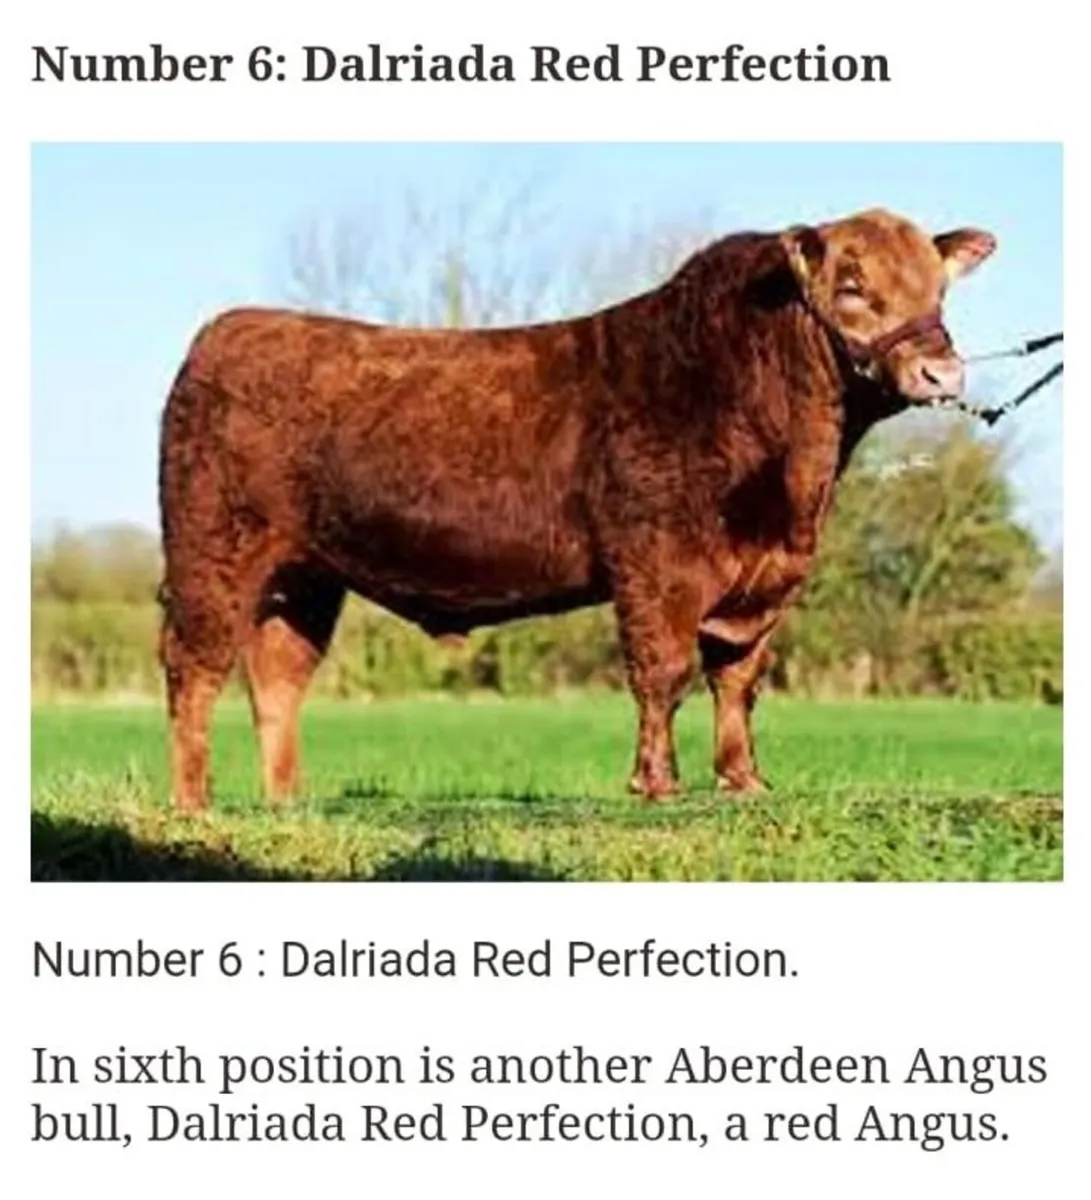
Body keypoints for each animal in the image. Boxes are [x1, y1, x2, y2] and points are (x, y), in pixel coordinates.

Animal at [157, 207, 995, 812]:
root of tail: (227, 331)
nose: (941, 371)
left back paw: (284, 803)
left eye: (939, 289)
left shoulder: (763, 582)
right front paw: (657, 784)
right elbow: (663, 671)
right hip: (212, 554)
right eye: (850, 287)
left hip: (301, 580)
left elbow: (737, 679)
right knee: (194, 670)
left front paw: (742, 780)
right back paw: (194, 803)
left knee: (277, 679)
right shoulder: (656, 565)